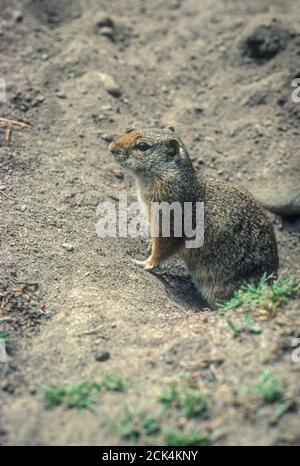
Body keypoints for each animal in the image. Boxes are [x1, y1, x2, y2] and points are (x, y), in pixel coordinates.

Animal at [109, 127, 280, 308]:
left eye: (142, 146)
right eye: (131, 130)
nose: (111, 147)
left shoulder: (169, 224)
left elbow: (162, 250)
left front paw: (144, 263)